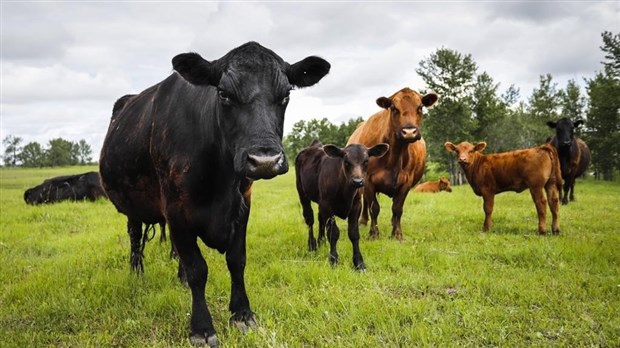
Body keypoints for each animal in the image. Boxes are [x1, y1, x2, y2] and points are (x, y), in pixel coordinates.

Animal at [98, 41, 330, 346]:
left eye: (285, 95)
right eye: (223, 93)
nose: (264, 160)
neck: (220, 182)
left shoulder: (243, 204)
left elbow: (236, 260)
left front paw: (242, 314)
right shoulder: (175, 208)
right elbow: (198, 269)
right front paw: (202, 327)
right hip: (132, 206)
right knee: (136, 238)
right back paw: (137, 272)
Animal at [346, 87, 438, 239]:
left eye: (420, 107)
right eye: (394, 108)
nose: (409, 132)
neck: (395, 153)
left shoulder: (406, 182)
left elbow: (397, 208)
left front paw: (397, 234)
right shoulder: (368, 180)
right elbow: (374, 208)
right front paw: (373, 234)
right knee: (364, 200)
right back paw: (362, 221)